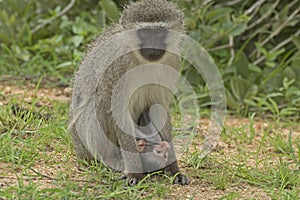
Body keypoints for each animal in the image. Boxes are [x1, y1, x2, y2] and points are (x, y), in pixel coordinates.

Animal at [69, 0, 189, 185]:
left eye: (159, 32)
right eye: (145, 32)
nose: (152, 45)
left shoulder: (173, 60)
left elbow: (159, 109)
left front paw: (174, 169)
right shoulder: (118, 63)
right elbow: (117, 110)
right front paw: (134, 173)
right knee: (101, 99)